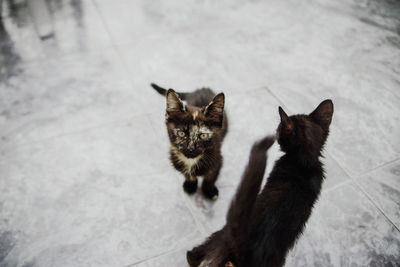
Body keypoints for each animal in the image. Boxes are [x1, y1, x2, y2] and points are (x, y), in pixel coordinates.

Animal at [188, 99, 334, 266]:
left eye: (280, 128)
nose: (276, 131)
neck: (305, 163)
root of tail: (246, 250)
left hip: (221, 236)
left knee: (195, 253)